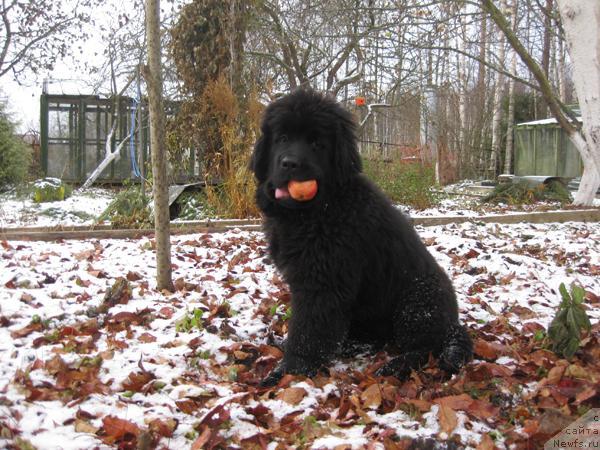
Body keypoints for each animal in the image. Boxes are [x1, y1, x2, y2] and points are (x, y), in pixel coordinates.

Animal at [251, 89, 472, 386]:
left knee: (425, 348)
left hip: (417, 301)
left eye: (317, 143)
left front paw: (289, 371)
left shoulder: (322, 285)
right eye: (282, 138)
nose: (290, 163)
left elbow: (308, 332)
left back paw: (394, 367)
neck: (320, 209)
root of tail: (453, 325)